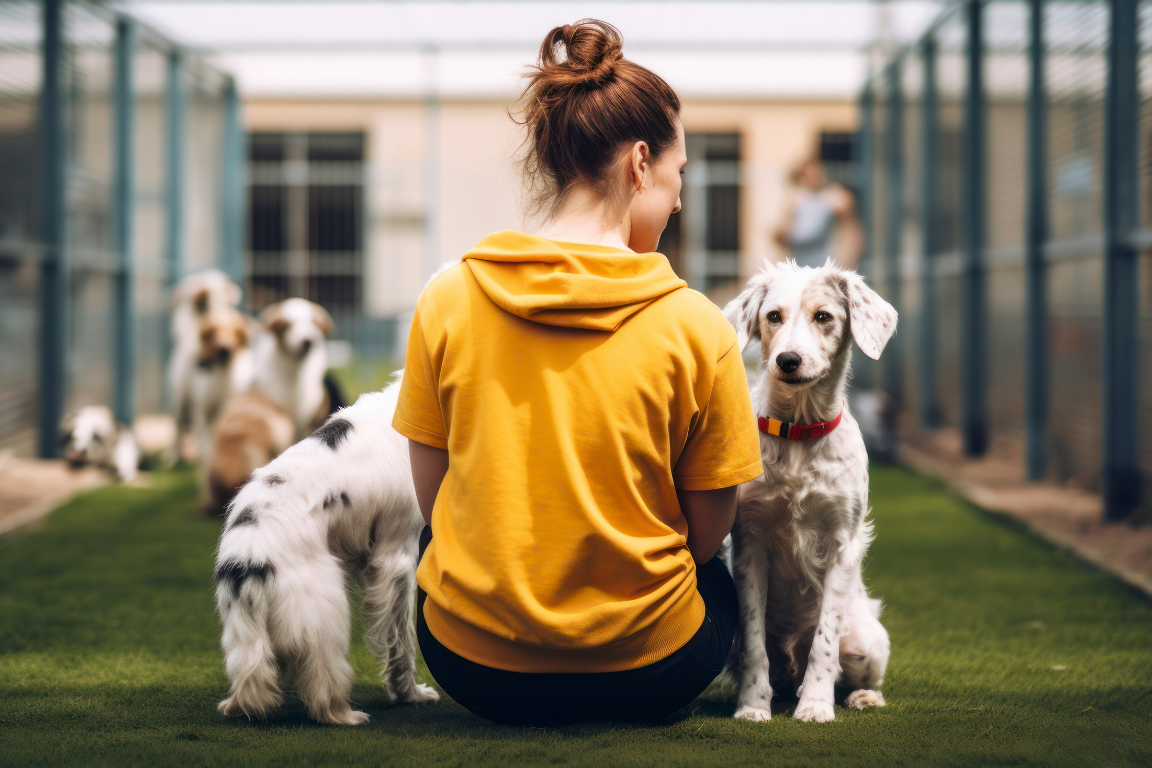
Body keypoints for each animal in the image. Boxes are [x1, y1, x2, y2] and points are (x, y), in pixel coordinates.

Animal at [211, 377, 435, 727]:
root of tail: (247, 561)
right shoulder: (397, 560)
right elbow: (402, 643)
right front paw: (409, 695)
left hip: (244, 633)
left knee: (249, 675)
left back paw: (235, 706)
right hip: (327, 616)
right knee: (323, 687)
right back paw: (346, 715)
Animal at [718, 261, 898, 723]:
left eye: (823, 316)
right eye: (773, 316)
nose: (788, 360)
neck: (798, 432)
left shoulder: (842, 542)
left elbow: (824, 642)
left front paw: (816, 705)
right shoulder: (750, 541)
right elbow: (754, 645)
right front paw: (752, 706)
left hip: (869, 640)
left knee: (855, 671)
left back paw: (862, 697)